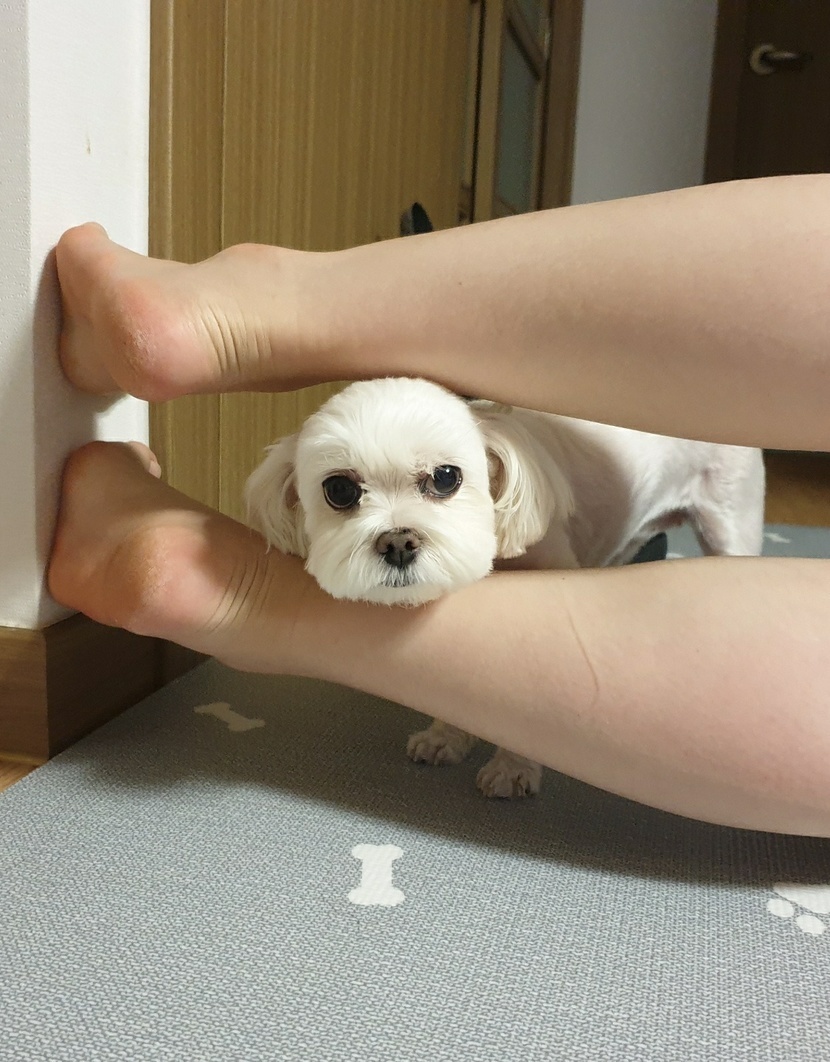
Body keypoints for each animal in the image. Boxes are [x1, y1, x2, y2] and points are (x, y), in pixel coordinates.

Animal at [245, 376, 765, 798]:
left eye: (446, 478)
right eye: (339, 490)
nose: (397, 543)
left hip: (730, 516)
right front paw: (445, 737)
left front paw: (513, 769)